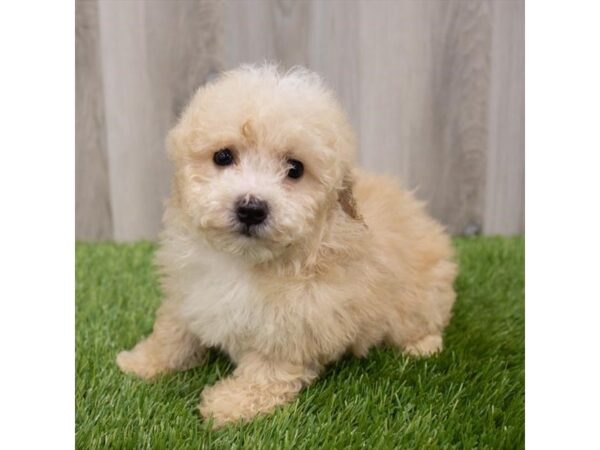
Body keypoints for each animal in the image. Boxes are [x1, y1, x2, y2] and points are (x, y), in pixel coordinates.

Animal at [116, 65, 454, 428]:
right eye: (223, 156)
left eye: (295, 169)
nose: (251, 208)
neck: (244, 261)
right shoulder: (188, 289)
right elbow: (173, 331)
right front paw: (143, 361)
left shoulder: (295, 323)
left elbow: (266, 370)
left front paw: (231, 404)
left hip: (421, 297)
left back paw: (423, 346)